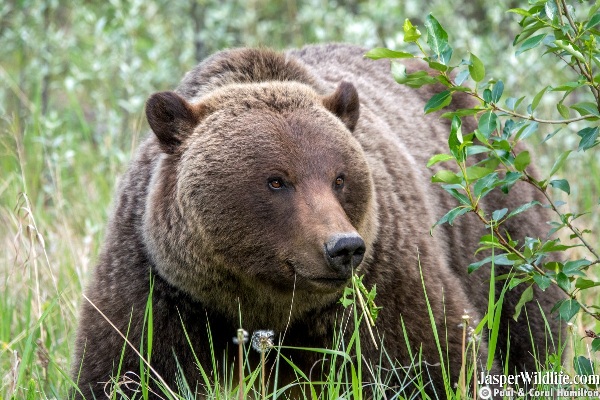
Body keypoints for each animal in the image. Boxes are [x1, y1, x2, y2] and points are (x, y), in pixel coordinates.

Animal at [74, 43, 564, 396]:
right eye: (276, 180)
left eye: (339, 177)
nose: (343, 247)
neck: (262, 305)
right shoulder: (159, 287)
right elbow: (123, 370)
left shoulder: (382, 279)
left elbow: (437, 356)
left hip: (497, 215)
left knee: (530, 318)